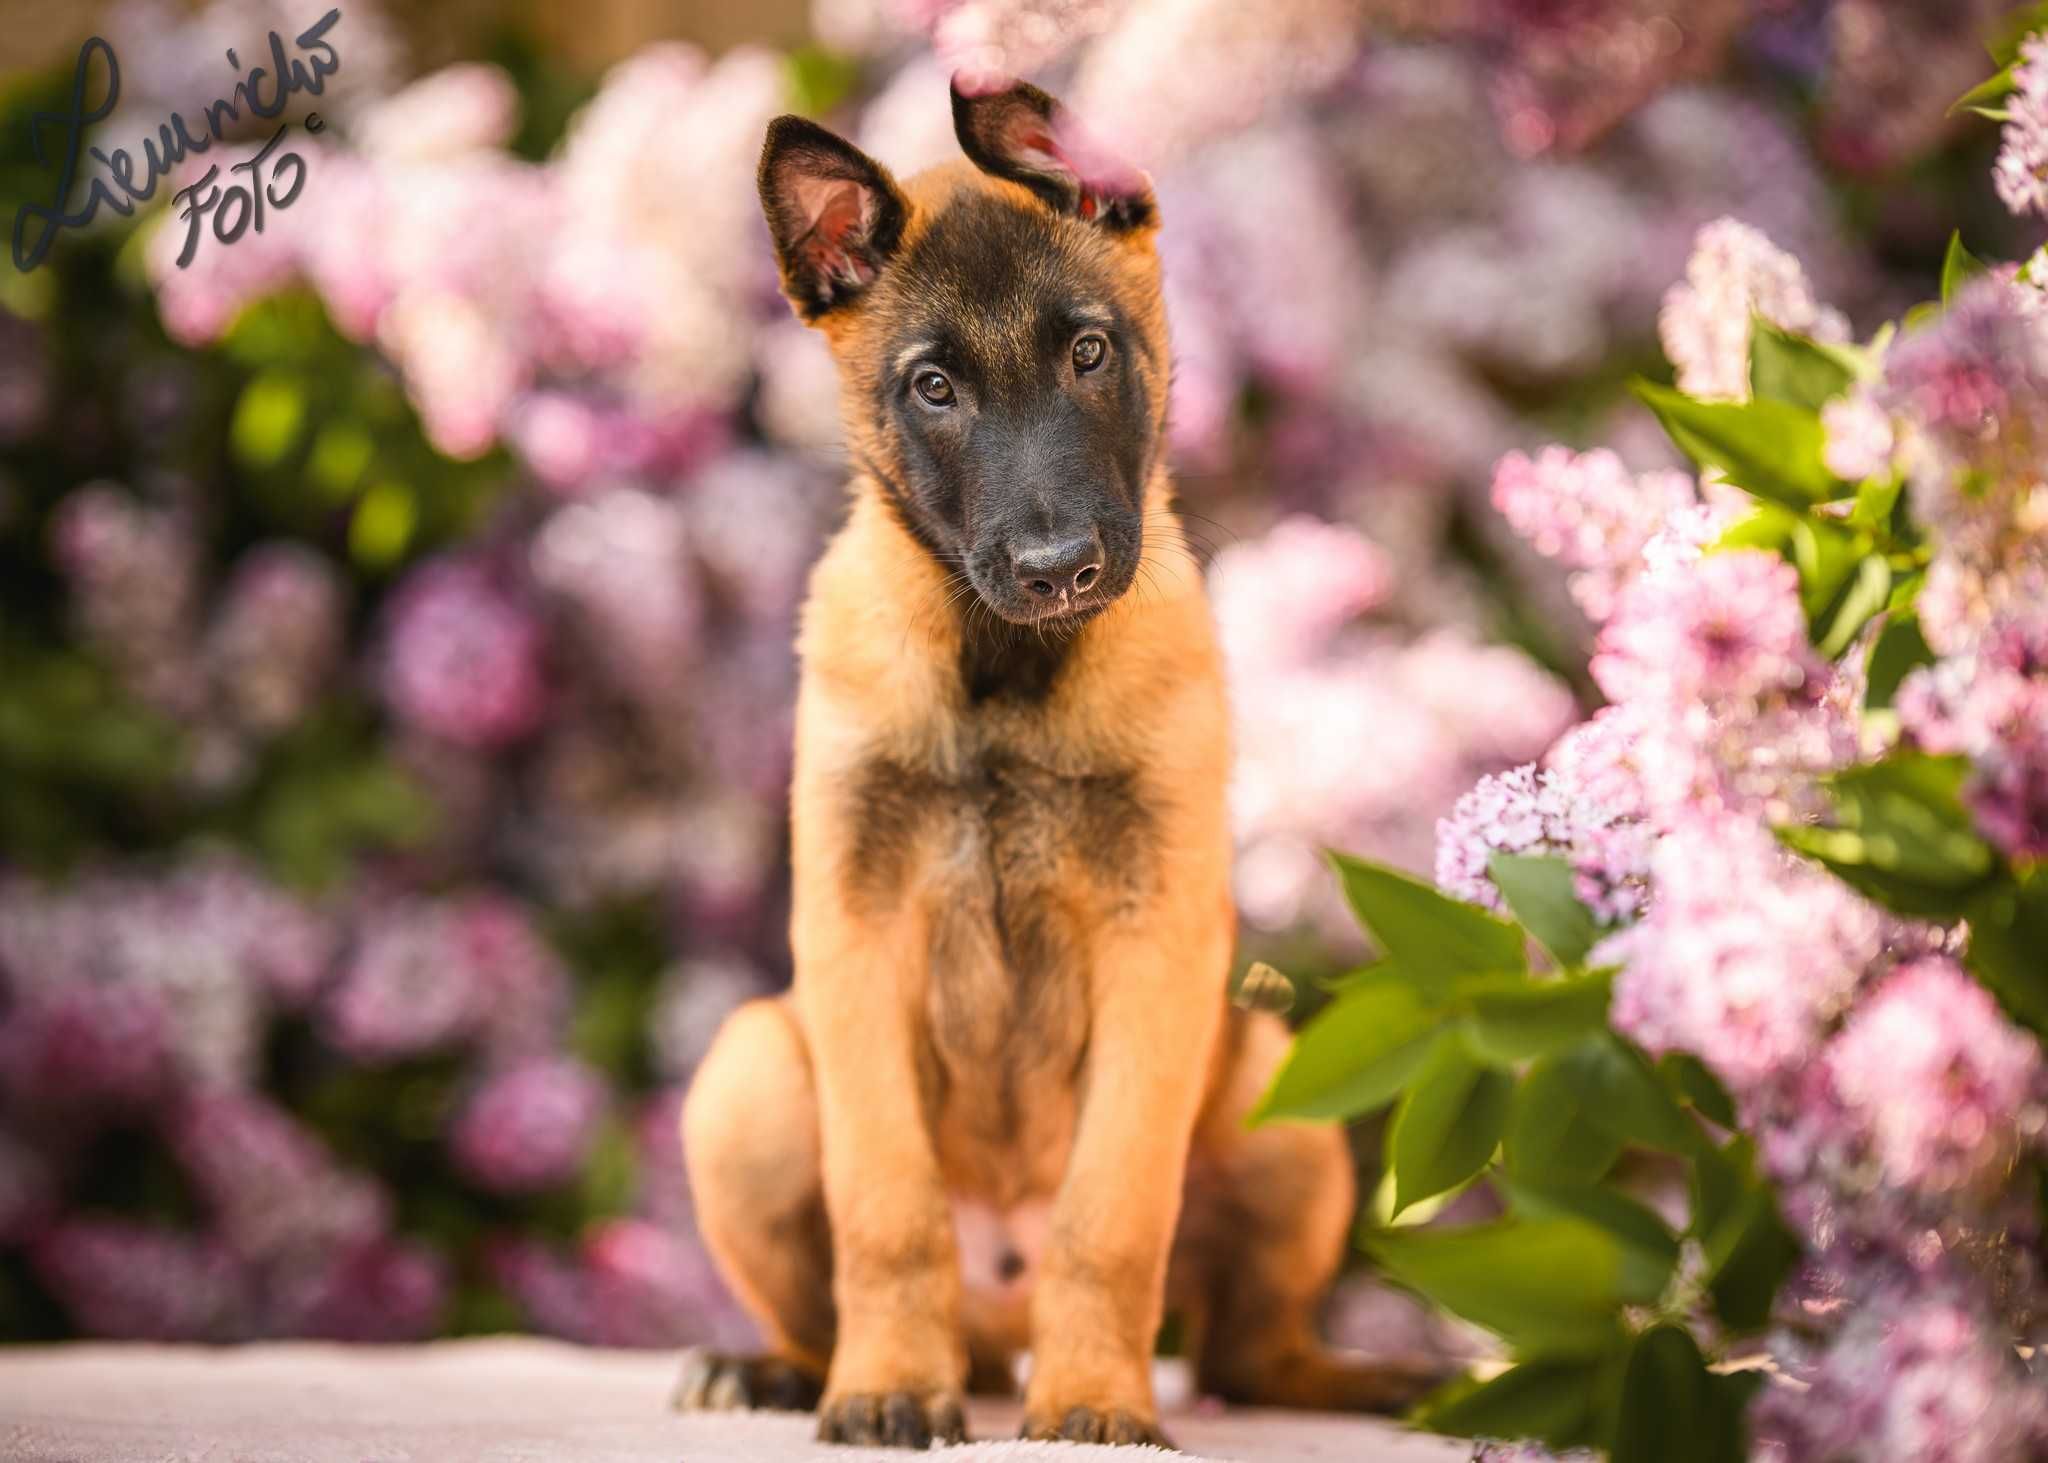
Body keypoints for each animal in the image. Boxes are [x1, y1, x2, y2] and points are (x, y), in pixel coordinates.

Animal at [675, 76, 1441, 1434]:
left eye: (1087, 353)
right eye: (933, 387)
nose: (1056, 571)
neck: (1004, 672)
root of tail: (997, 1321)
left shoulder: (1156, 939)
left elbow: (1111, 1215)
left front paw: (1092, 1400)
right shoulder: (856, 929)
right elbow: (884, 1207)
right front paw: (887, 1383)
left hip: (1273, 1094)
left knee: (1249, 1352)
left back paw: (1355, 1375)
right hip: (749, 1072)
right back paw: (782, 1365)